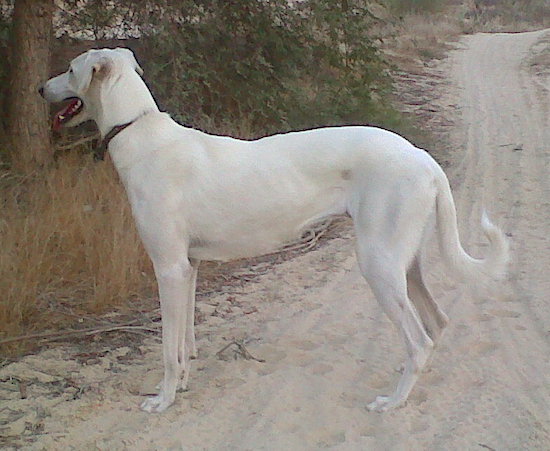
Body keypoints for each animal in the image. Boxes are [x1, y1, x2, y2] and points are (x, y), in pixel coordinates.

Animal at [41, 48, 512, 414]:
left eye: (70, 69)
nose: (40, 90)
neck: (140, 133)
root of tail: (420, 155)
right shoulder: (188, 267)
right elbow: (185, 340)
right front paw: (183, 381)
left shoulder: (169, 268)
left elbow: (168, 351)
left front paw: (163, 399)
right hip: (403, 263)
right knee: (435, 323)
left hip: (378, 263)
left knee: (419, 340)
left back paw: (392, 401)